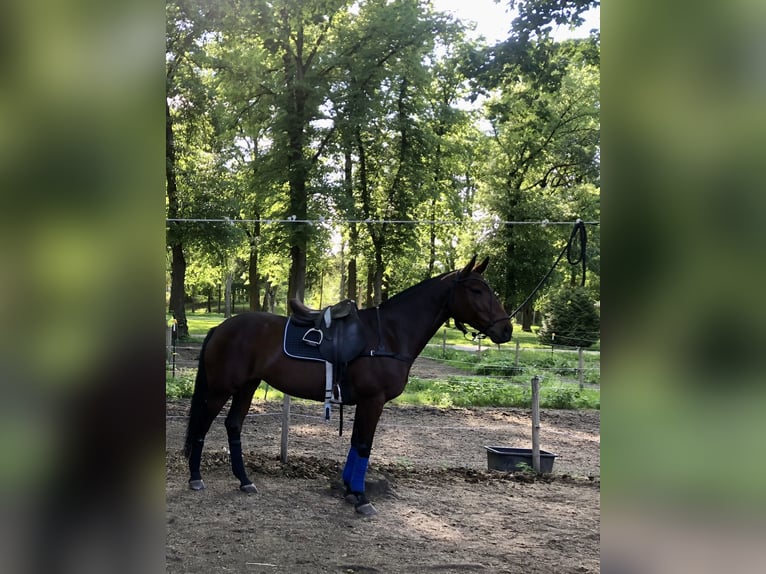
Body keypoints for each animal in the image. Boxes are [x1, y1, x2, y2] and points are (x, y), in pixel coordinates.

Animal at [183, 255, 512, 515]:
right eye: (476, 289)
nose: (506, 328)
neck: (388, 335)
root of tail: (221, 327)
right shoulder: (373, 400)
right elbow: (364, 445)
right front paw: (361, 498)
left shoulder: (366, 402)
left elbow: (356, 443)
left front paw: (349, 490)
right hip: (221, 389)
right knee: (201, 425)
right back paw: (196, 477)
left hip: (247, 387)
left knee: (233, 426)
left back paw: (245, 480)